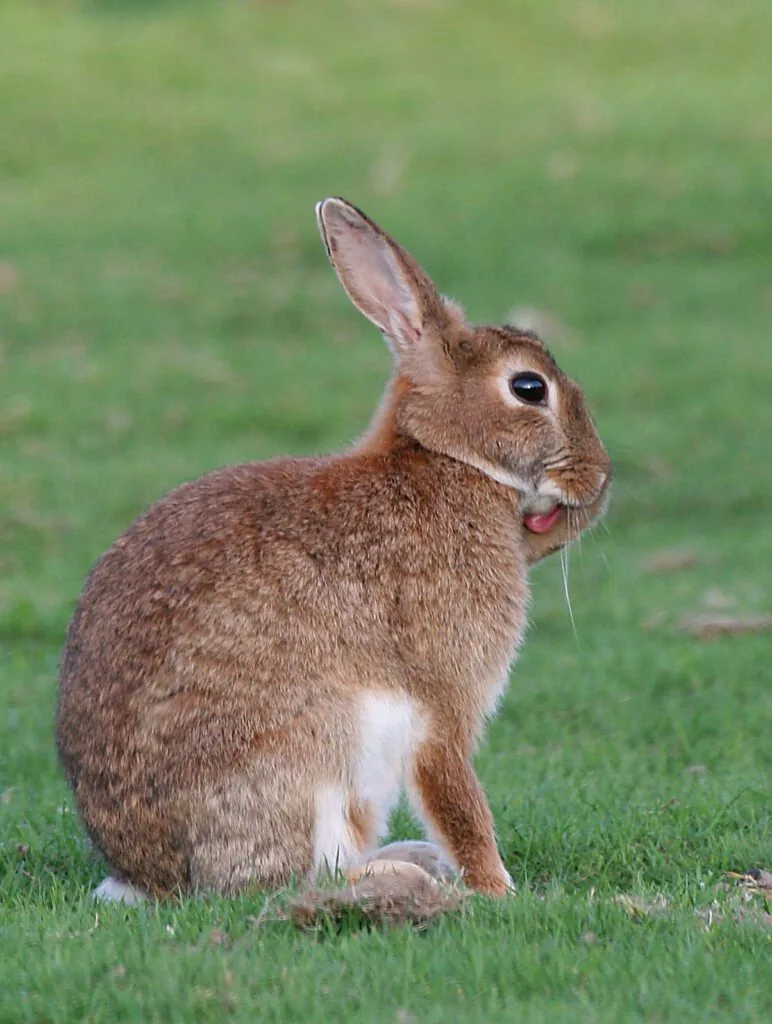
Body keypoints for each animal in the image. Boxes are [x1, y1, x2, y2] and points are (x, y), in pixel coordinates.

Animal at [56, 197, 611, 904]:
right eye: (529, 388)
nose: (599, 477)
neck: (447, 461)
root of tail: (147, 879)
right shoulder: (443, 704)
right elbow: (457, 796)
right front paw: (497, 889)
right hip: (321, 752)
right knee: (293, 877)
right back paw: (405, 874)